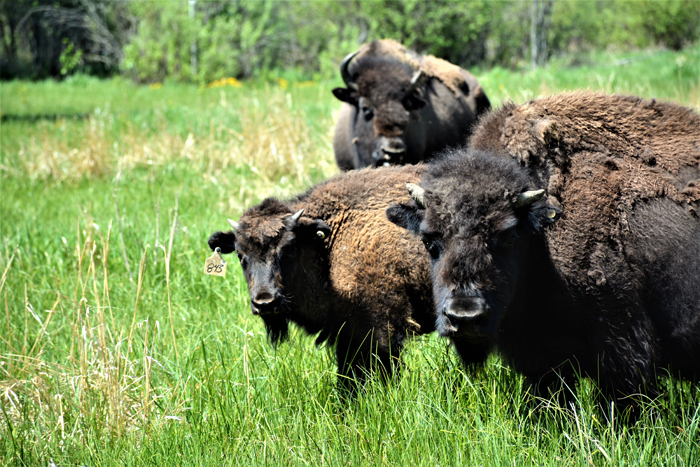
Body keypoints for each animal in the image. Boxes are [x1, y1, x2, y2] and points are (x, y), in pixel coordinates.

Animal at [208, 166, 492, 394]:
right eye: (241, 255)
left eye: (289, 248)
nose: (265, 302)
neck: (327, 244)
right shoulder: (346, 334)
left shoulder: (382, 329)